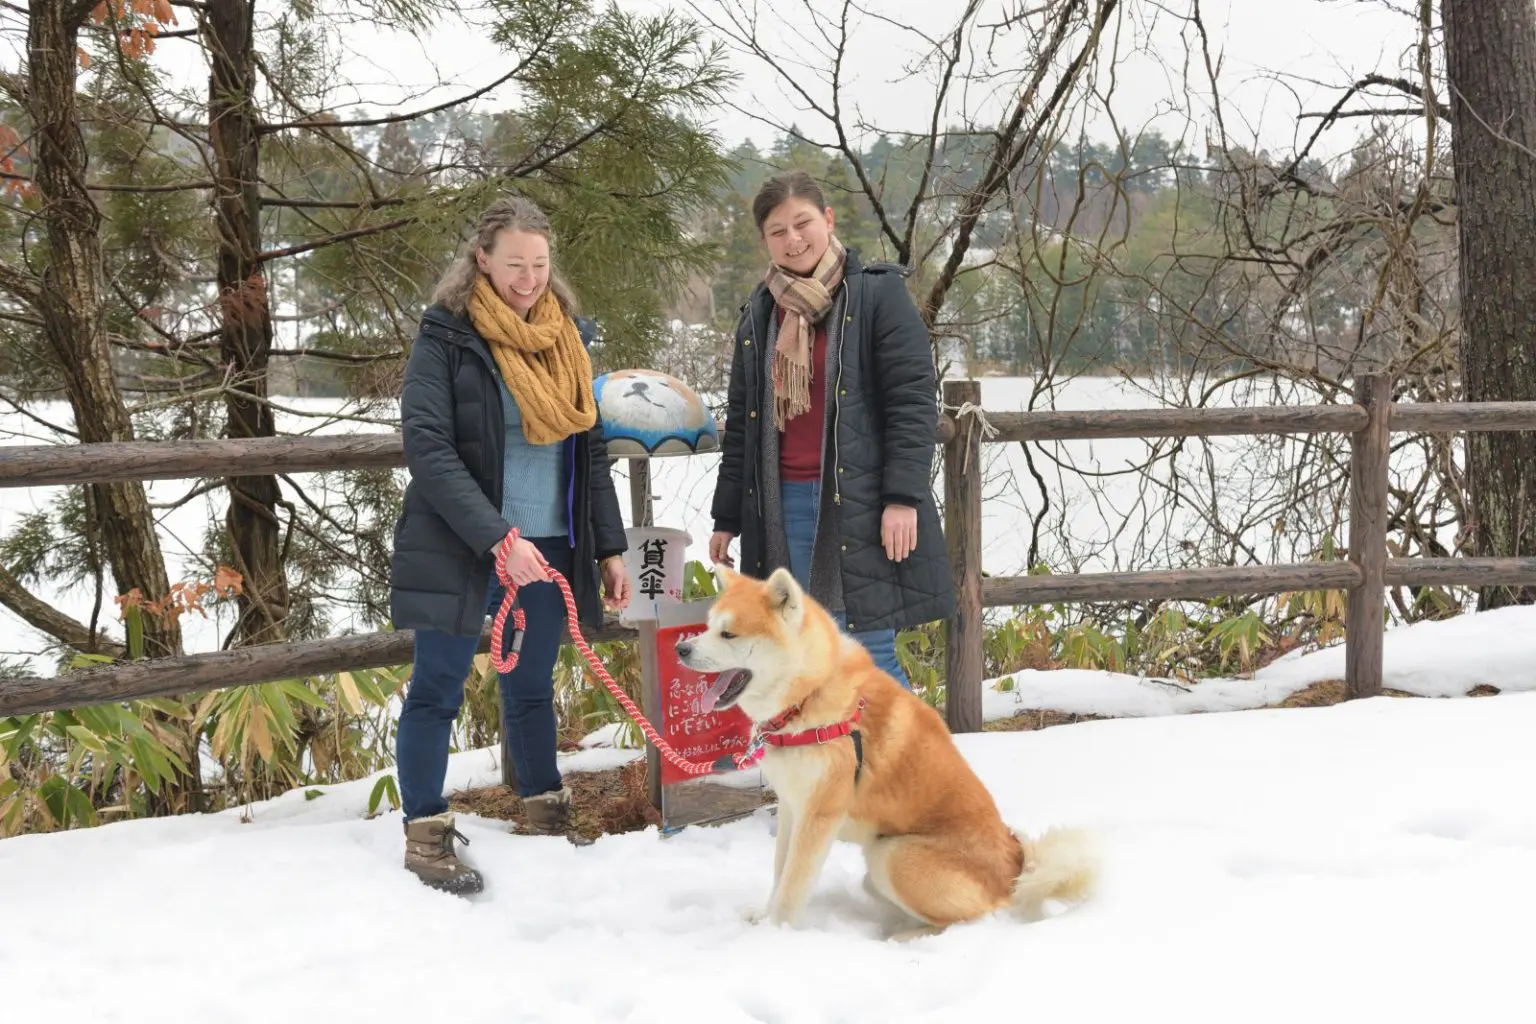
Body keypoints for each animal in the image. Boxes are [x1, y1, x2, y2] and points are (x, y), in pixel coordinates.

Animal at [675, 565, 1097, 939]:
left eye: (728, 633)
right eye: (708, 626)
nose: (681, 647)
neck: (809, 698)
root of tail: (1016, 871)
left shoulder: (819, 815)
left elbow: (793, 886)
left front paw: (773, 936)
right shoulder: (793, 808)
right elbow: (780, 873)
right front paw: (764, 918)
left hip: (891, 855)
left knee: (975, 919)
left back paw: (906, 937)